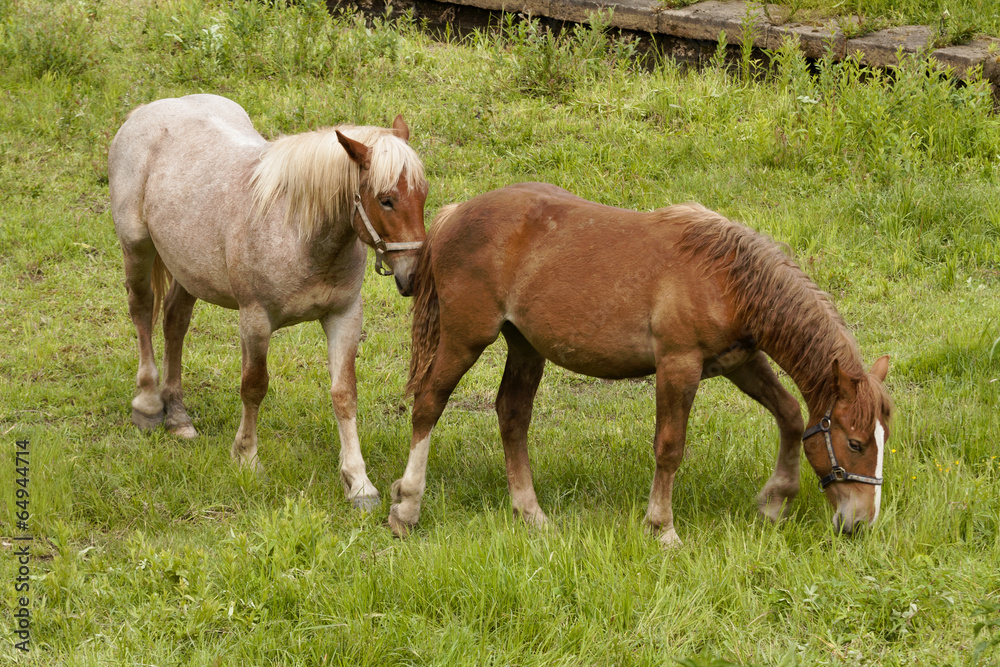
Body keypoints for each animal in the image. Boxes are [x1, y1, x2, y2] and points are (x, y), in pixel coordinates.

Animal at [108, 94, 428, 509]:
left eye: (422, 194)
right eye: (386, 200)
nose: (413, 276)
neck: (297, 230)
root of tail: (146, 111)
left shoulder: (344, 316)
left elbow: (344, 395)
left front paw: (359, 483)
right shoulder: (256, 320)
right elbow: (254, 386)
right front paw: (247, 458)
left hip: (187, 269)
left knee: (174, 323)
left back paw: (177, 416)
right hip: (137, 248)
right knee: (142, 311)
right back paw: (148, 404)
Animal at [388, 182, 893, 545]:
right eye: (855, 443)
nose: (861, 523)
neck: (725, 277)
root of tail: (454, 214)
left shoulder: (741, 361)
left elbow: (789, 414)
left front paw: (774, 500)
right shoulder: (678, 366)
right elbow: (669, 448)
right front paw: (662, 528)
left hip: (526, 347)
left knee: (512, 417)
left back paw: (531, 514)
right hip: (466, 338)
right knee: (428, 404)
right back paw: (406, 509)